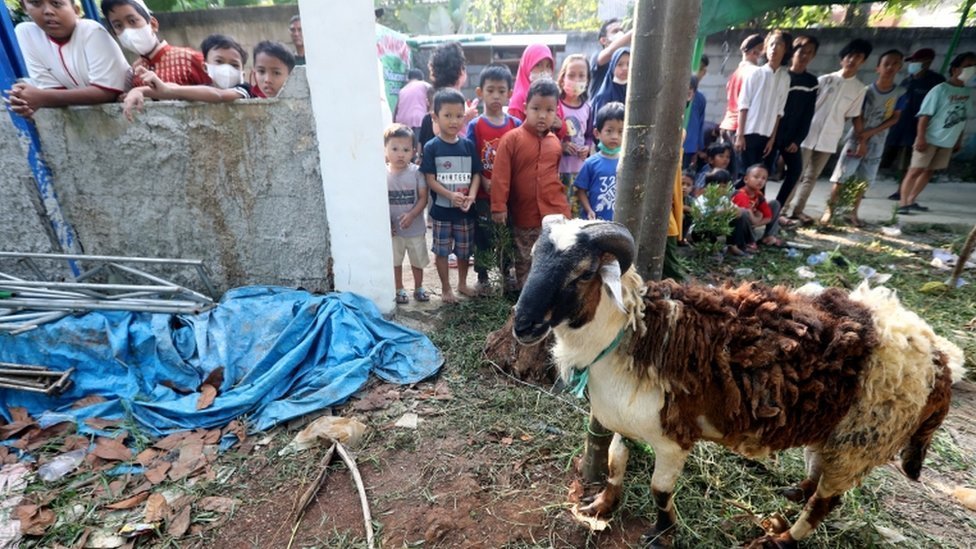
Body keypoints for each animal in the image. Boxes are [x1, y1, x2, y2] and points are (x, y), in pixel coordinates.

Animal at [516, 216, 964, 544]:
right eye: (535, 259)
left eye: (583, 273)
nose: (523, 325)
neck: (632, 336)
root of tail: (937, 353)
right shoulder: (623, 422)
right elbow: (615, 464)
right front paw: (600, 507)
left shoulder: (673, 439)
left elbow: (660, 491)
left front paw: (663, 532)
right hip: (835, 428)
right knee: (818, 467)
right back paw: (795, 493)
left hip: (862, 441)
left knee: (826, 503)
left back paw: (781, 539)